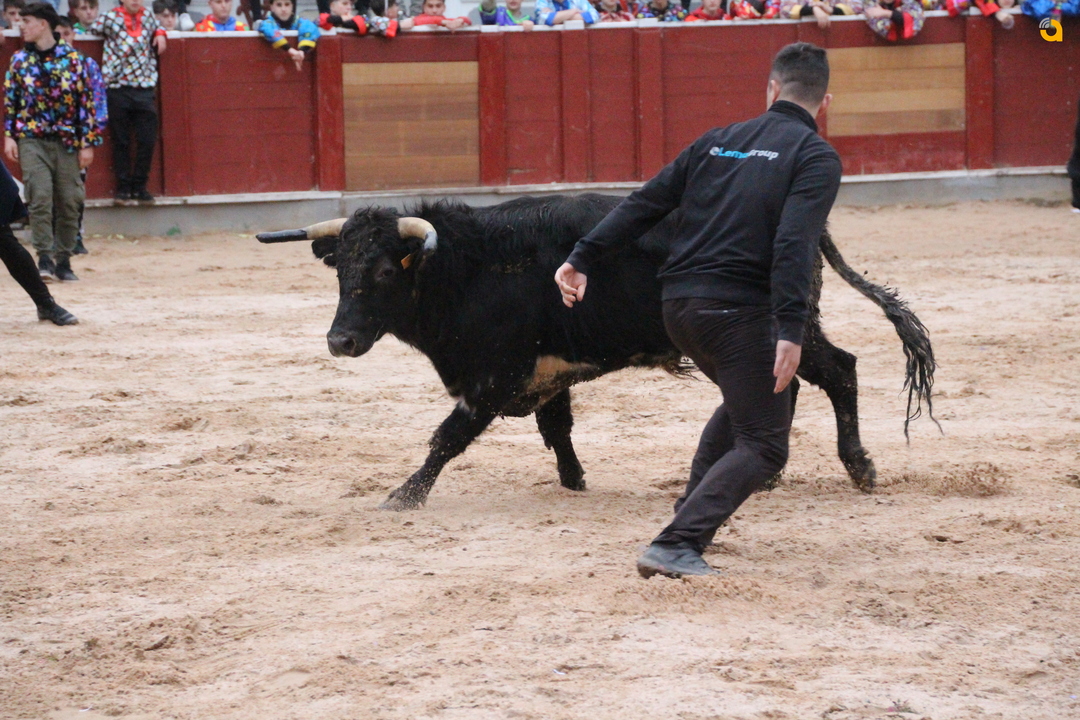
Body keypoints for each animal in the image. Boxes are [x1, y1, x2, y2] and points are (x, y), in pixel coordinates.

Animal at [257, 194, 935, 511]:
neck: (463, 266)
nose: (339, 341)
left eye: (381, 273)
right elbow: (557, 431)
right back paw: (772, 476)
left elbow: (446, 438)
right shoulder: (543, 376)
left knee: (839, 371)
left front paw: (404, 496)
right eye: (340, 272)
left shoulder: (492, 378)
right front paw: (575, 481)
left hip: (784, 328)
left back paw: (860, 467)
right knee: (786, 386)